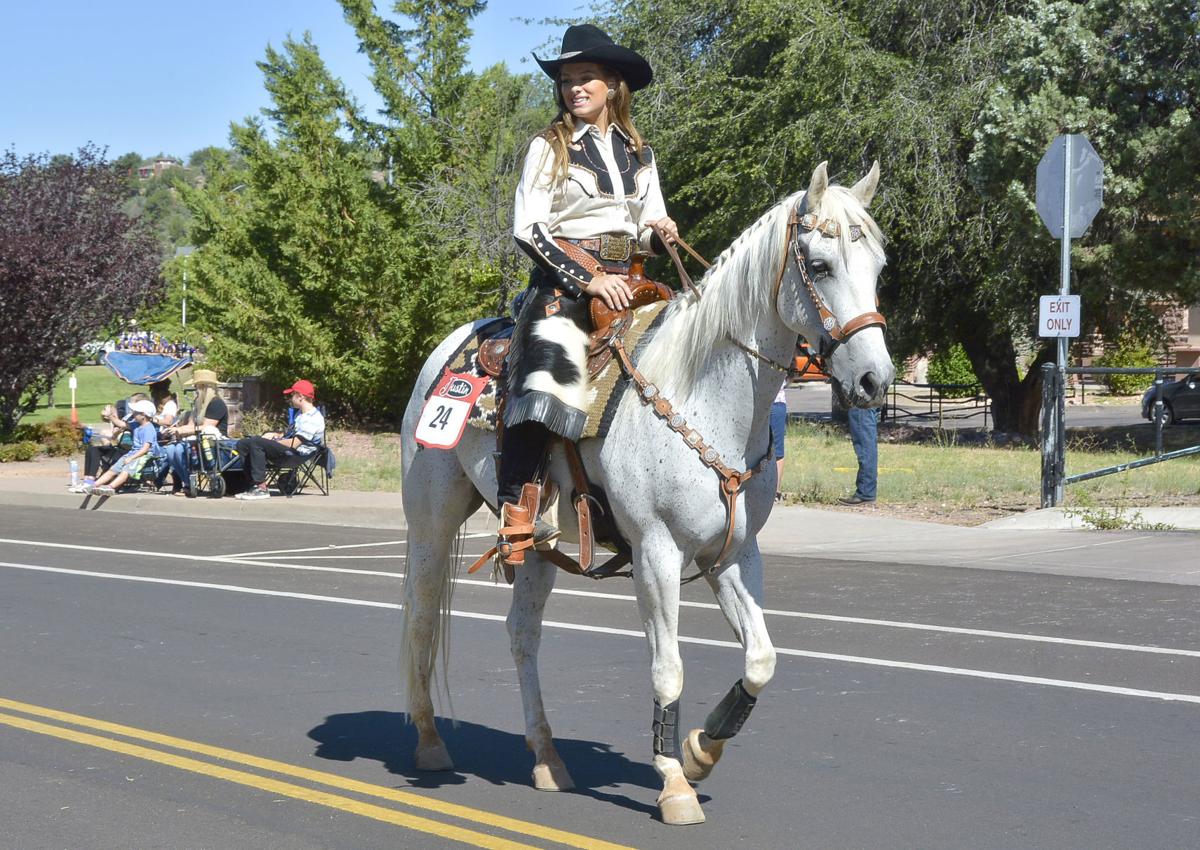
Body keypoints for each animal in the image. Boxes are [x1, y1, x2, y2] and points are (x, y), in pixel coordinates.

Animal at [396, 159, 892, 821]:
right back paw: (428, 742)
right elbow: (668, 668)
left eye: (879, 266)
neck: (704, 400)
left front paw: (703, 748)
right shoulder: (657, 554)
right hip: (431, 523)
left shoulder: (733, 555)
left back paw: (547, 759)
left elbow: (761, 659)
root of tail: (454, 344)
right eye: (818, 265)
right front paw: (675, 783)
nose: (874, 380)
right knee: (423, 620)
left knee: (522, 636)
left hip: (538, 546)